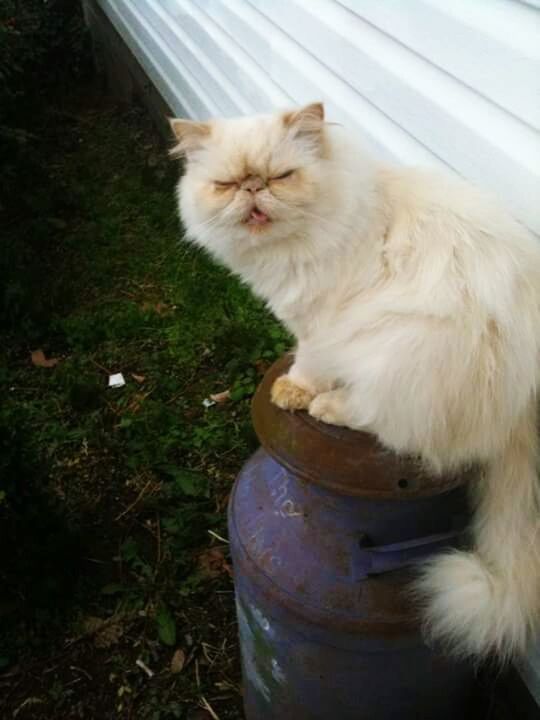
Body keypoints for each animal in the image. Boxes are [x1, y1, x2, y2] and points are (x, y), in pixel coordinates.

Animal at [172, 102, 540, 664]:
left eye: (281, 177)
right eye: (228, 184)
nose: (253, 188)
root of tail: (524, 395)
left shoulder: (322, 326)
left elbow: (307, 363)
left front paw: (294, 390)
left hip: (395, 352)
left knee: (392, 427)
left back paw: (327, 406)